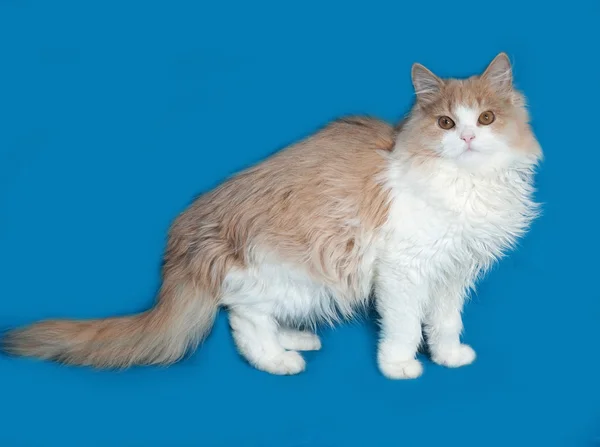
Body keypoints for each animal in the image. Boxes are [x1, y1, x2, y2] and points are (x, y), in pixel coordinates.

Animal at [3, 54, 544, 380]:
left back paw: (296, 341)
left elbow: (446, 323)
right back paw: (279, 360)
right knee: (243, 318)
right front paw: (399, 366)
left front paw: (449, 357)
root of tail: (188, 239)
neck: (466, 184)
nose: (468, 137)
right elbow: (407, 327)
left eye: (486, 119)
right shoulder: (403, 271)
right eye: (447, 123)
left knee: (249, 314)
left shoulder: (452, 272)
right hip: (299, 274)